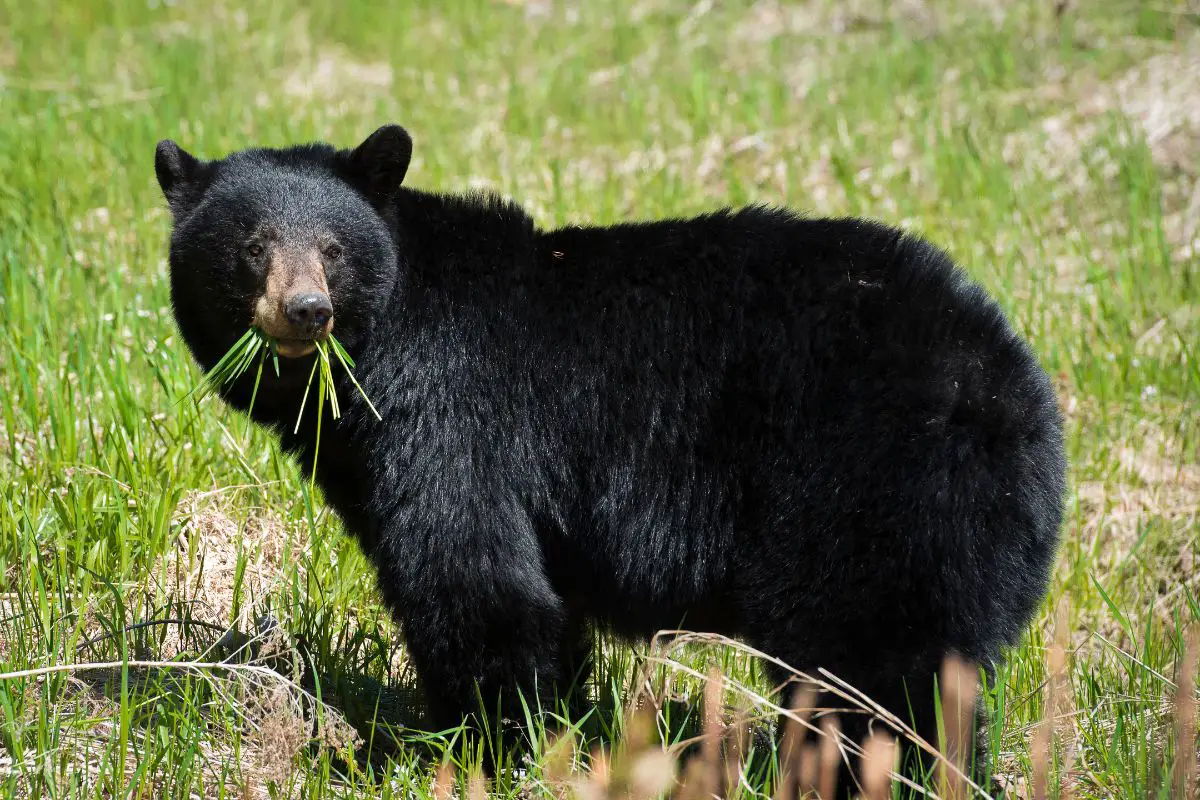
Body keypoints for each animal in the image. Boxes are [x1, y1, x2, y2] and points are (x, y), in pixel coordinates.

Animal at [154, 123, 1065, 786]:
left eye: (334, 249)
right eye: (252, 246)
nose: (307, 310)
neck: (376, 357)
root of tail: (1019, 394)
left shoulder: (452, 415)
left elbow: (474, 577)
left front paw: (459, 750)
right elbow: (542, 605)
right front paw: (546, 733)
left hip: (872, 494)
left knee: (872, 673)